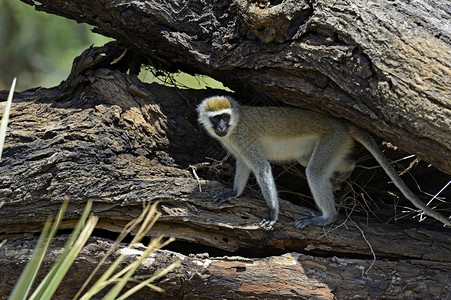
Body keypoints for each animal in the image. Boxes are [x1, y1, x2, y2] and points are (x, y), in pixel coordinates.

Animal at [198, 95, 451, 229]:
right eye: (216, 119)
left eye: (225, 116)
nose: (221, 127)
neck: (235, 126)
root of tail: (343, 123)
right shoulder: (236, 145)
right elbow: (244, 164)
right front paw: (233, 193)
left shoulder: (243, 139)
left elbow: (261, 167)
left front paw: (272, 214)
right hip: (333, 144)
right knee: (314, 163)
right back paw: (346, 171)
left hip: (333, 138)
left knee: (315, 172)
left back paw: (327, 218)